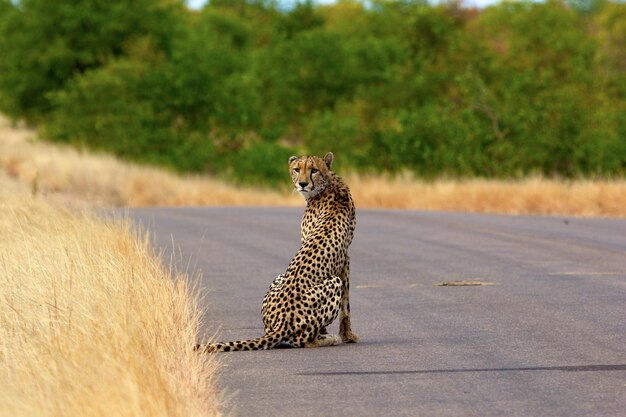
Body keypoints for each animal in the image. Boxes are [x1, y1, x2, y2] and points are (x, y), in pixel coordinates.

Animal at [197, 151, 358, 350]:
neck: (329, 183)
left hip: (295, 280)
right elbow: (346, 304)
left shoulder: (345, 257)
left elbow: (346, 304)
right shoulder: (344, 257)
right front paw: (345, 335)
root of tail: (280, 323)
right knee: (305, 341)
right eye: (297, 169)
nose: (302, 183)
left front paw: (347, 335)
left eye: (313, 170)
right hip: (323, 281)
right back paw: (328, 339)